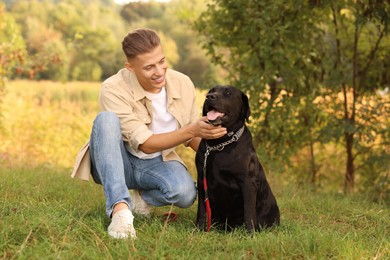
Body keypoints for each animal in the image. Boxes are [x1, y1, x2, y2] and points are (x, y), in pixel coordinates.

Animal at [197, 85, 278, 232]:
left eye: (228, 93)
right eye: (212, 90)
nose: (209, 96)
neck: (220, 144)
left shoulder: (247, 183)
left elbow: (249, 212)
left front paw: (250, 233)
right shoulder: (201, 179)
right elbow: (201, 210)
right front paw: (198, 229)